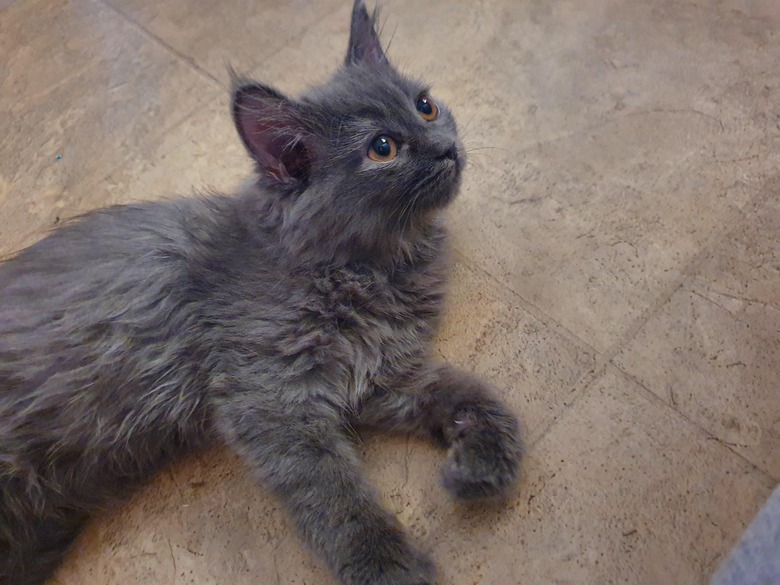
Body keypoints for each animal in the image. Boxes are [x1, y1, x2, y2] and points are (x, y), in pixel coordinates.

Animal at [1, 2, 524, 580]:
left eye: (425, 107)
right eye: (382, 148)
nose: (447, 148)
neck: (367, 267)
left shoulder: (378, 374)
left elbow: (472, 396)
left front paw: (482, 465)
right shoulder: (273, 395)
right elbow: (334, 498)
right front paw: (389, 567)